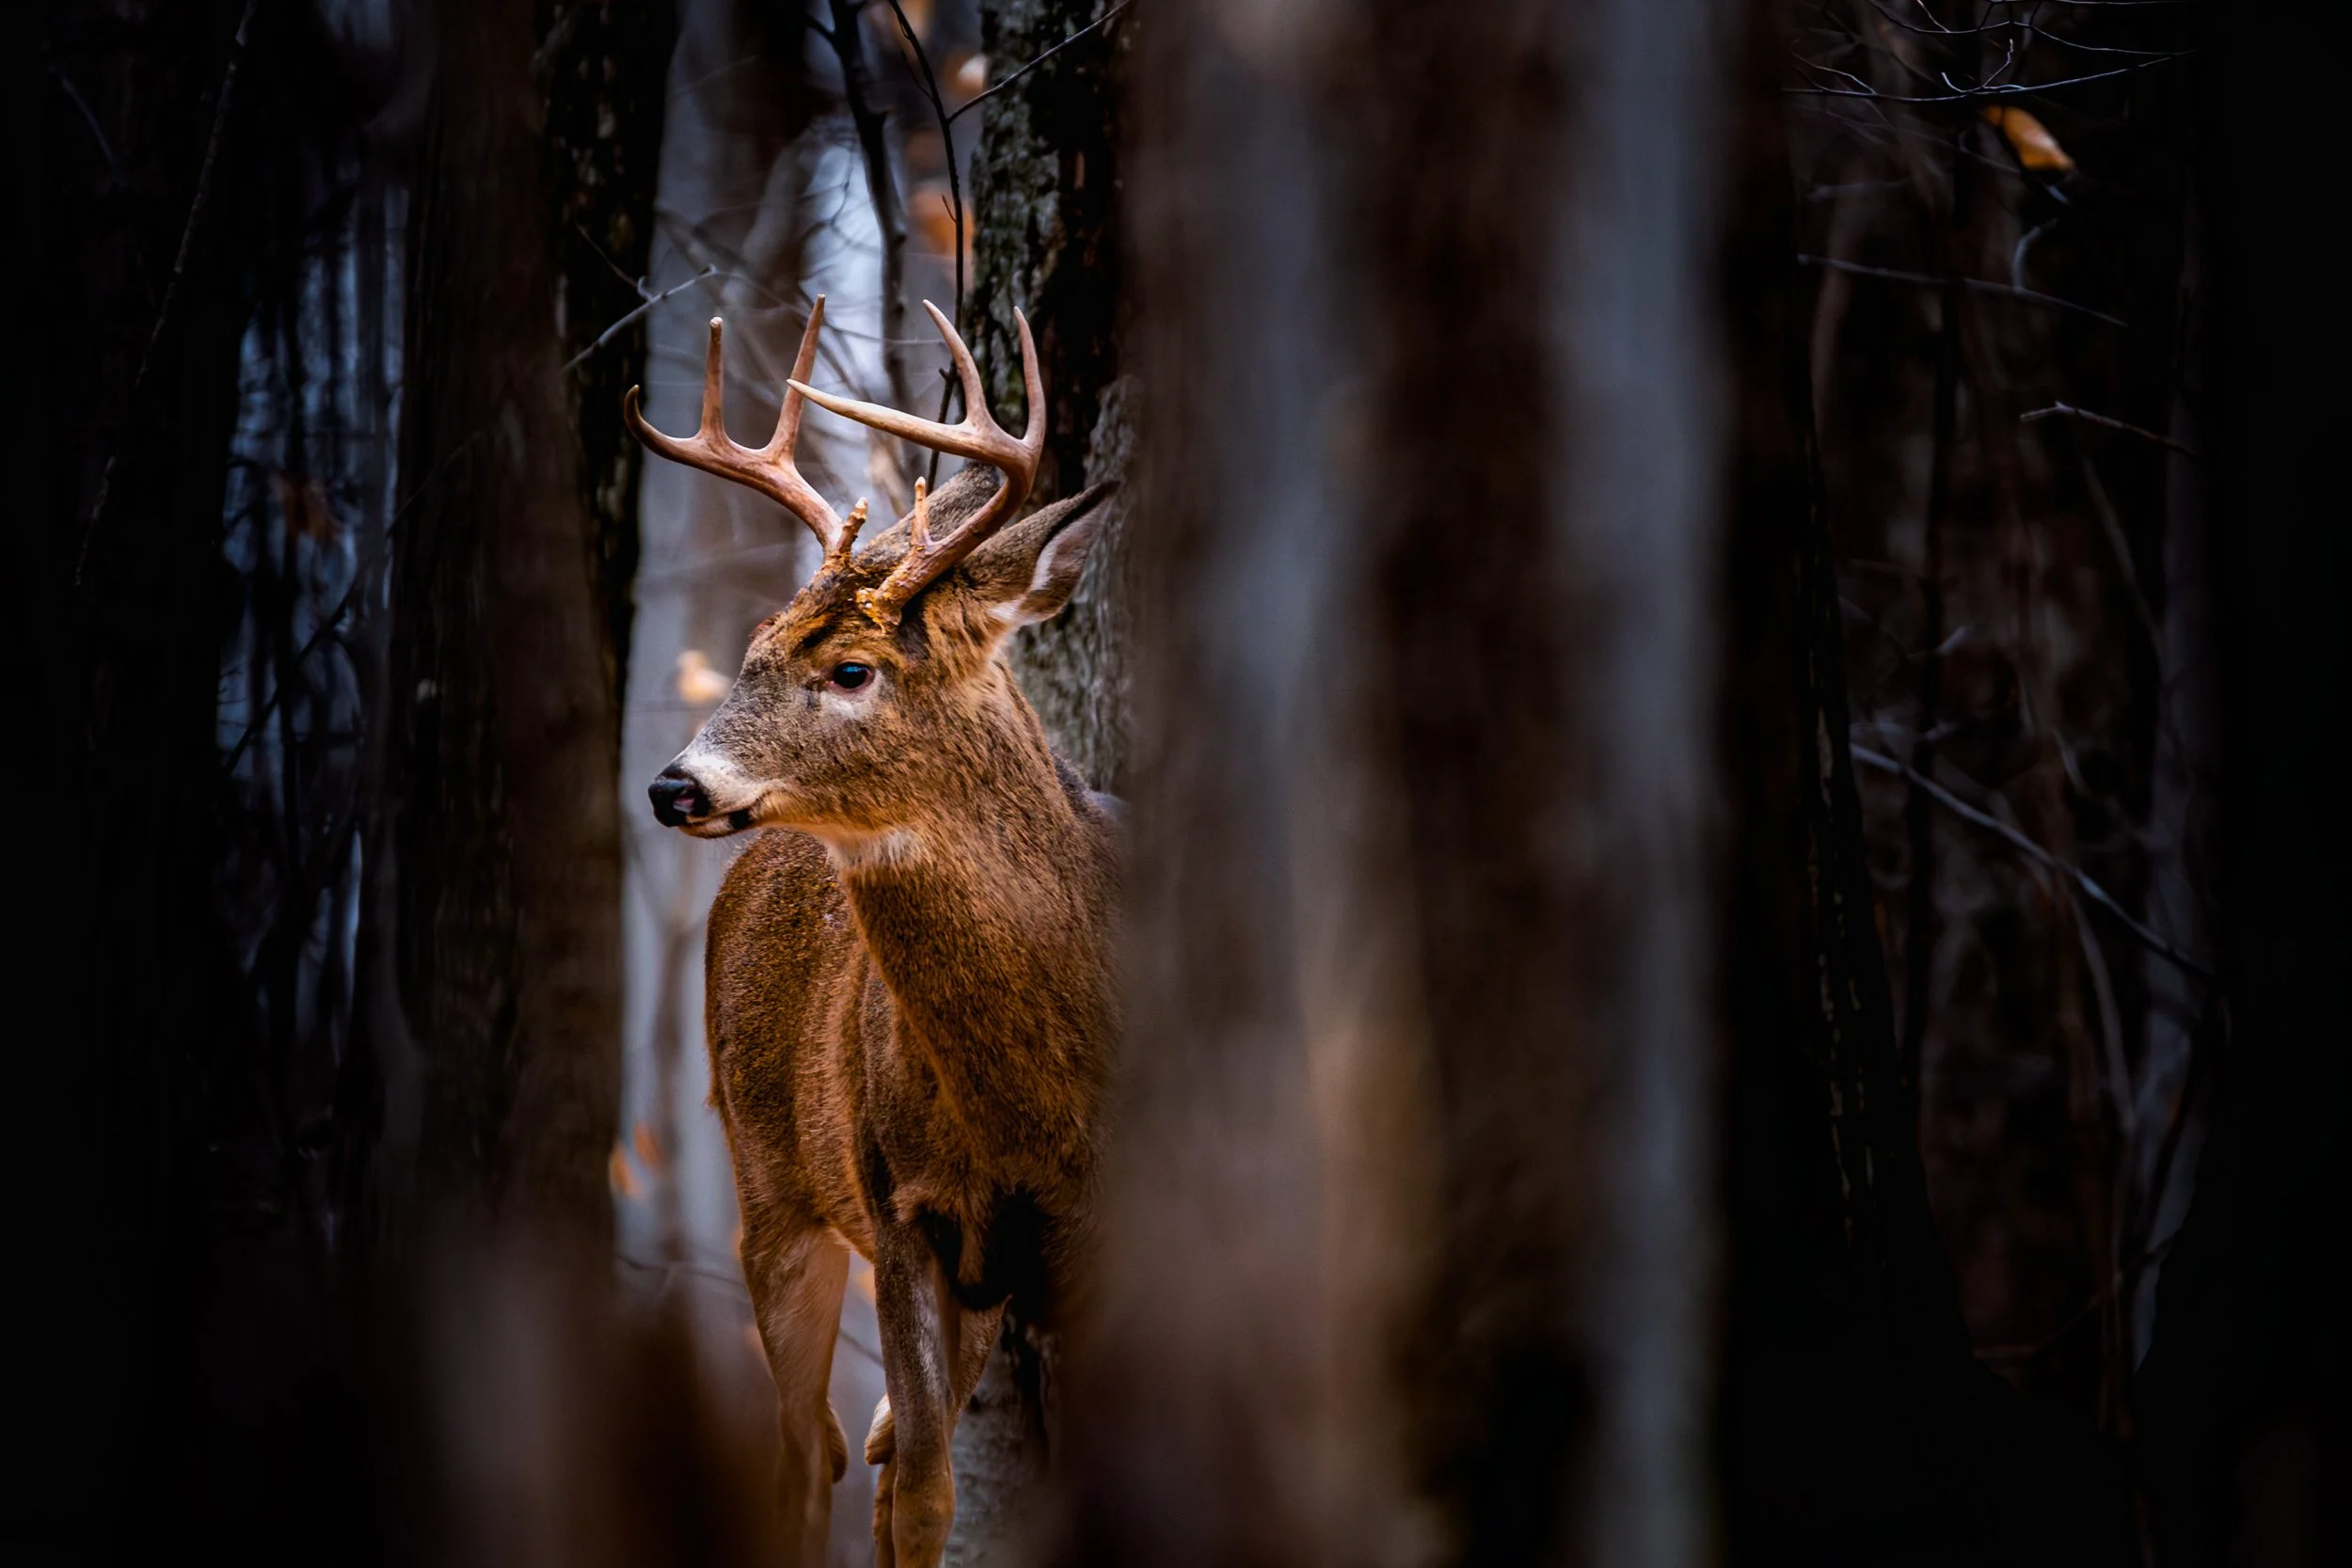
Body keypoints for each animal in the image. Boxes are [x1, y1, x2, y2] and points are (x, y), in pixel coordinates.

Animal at [627, 296, 1119, 1568]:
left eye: (851, 667)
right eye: (749, 649)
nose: (674, 785)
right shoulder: (900, 1199)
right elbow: (928, 1495)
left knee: (878, 1443)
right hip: (771, 1187)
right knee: (815, 1453)